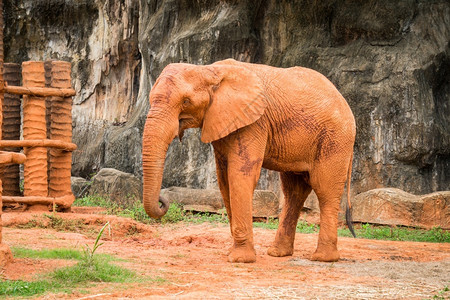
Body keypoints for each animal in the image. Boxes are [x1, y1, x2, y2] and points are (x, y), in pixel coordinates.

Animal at [142, 58, 356, 262]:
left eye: (186, 101)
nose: (163, 200)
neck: (210, 70)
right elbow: (224, 181)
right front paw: (233, 253)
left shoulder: (254, 122)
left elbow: (240, 176)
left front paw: (240, 259)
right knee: (294, 191)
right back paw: (278, 253)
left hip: (335, 139)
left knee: (324, 189)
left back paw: (323, 258)